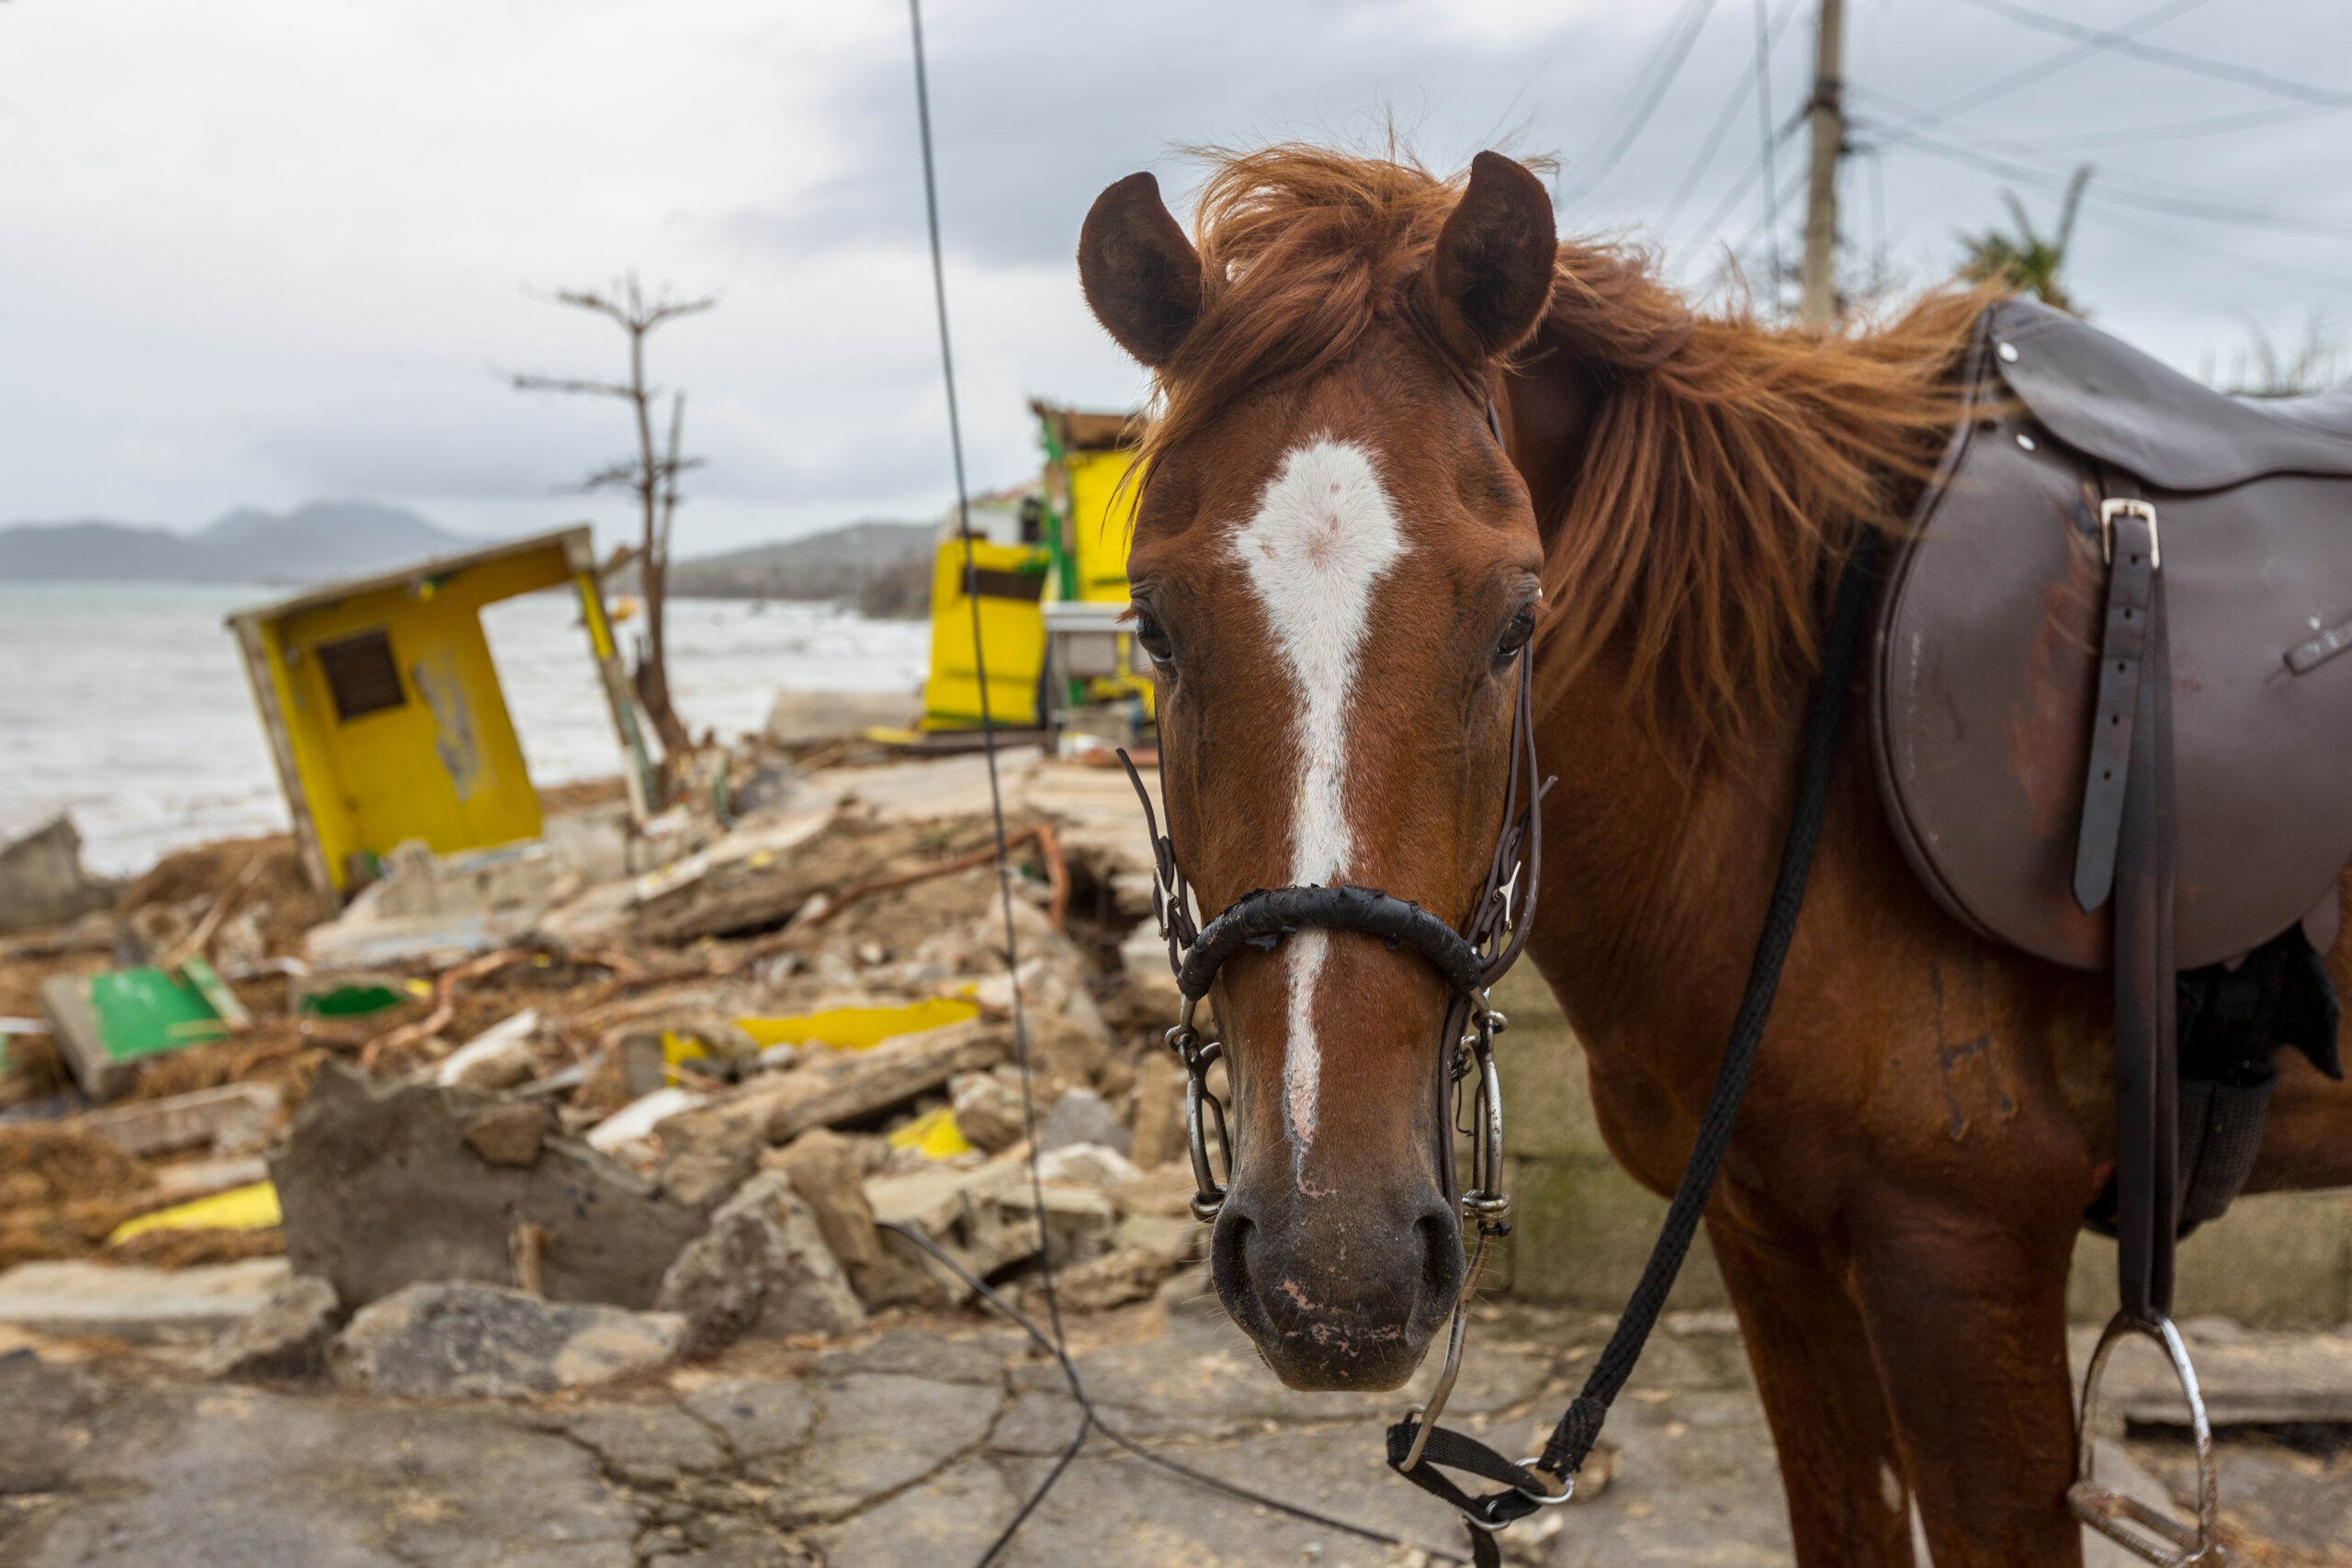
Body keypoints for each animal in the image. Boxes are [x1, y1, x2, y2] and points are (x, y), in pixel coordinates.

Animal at [1077, 141, 2352, 1561]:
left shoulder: (1965, 1253)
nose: (1336, 1271)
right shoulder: (1769, 1235)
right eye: (1152, 625)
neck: (1800, 763)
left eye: (1519, 618)